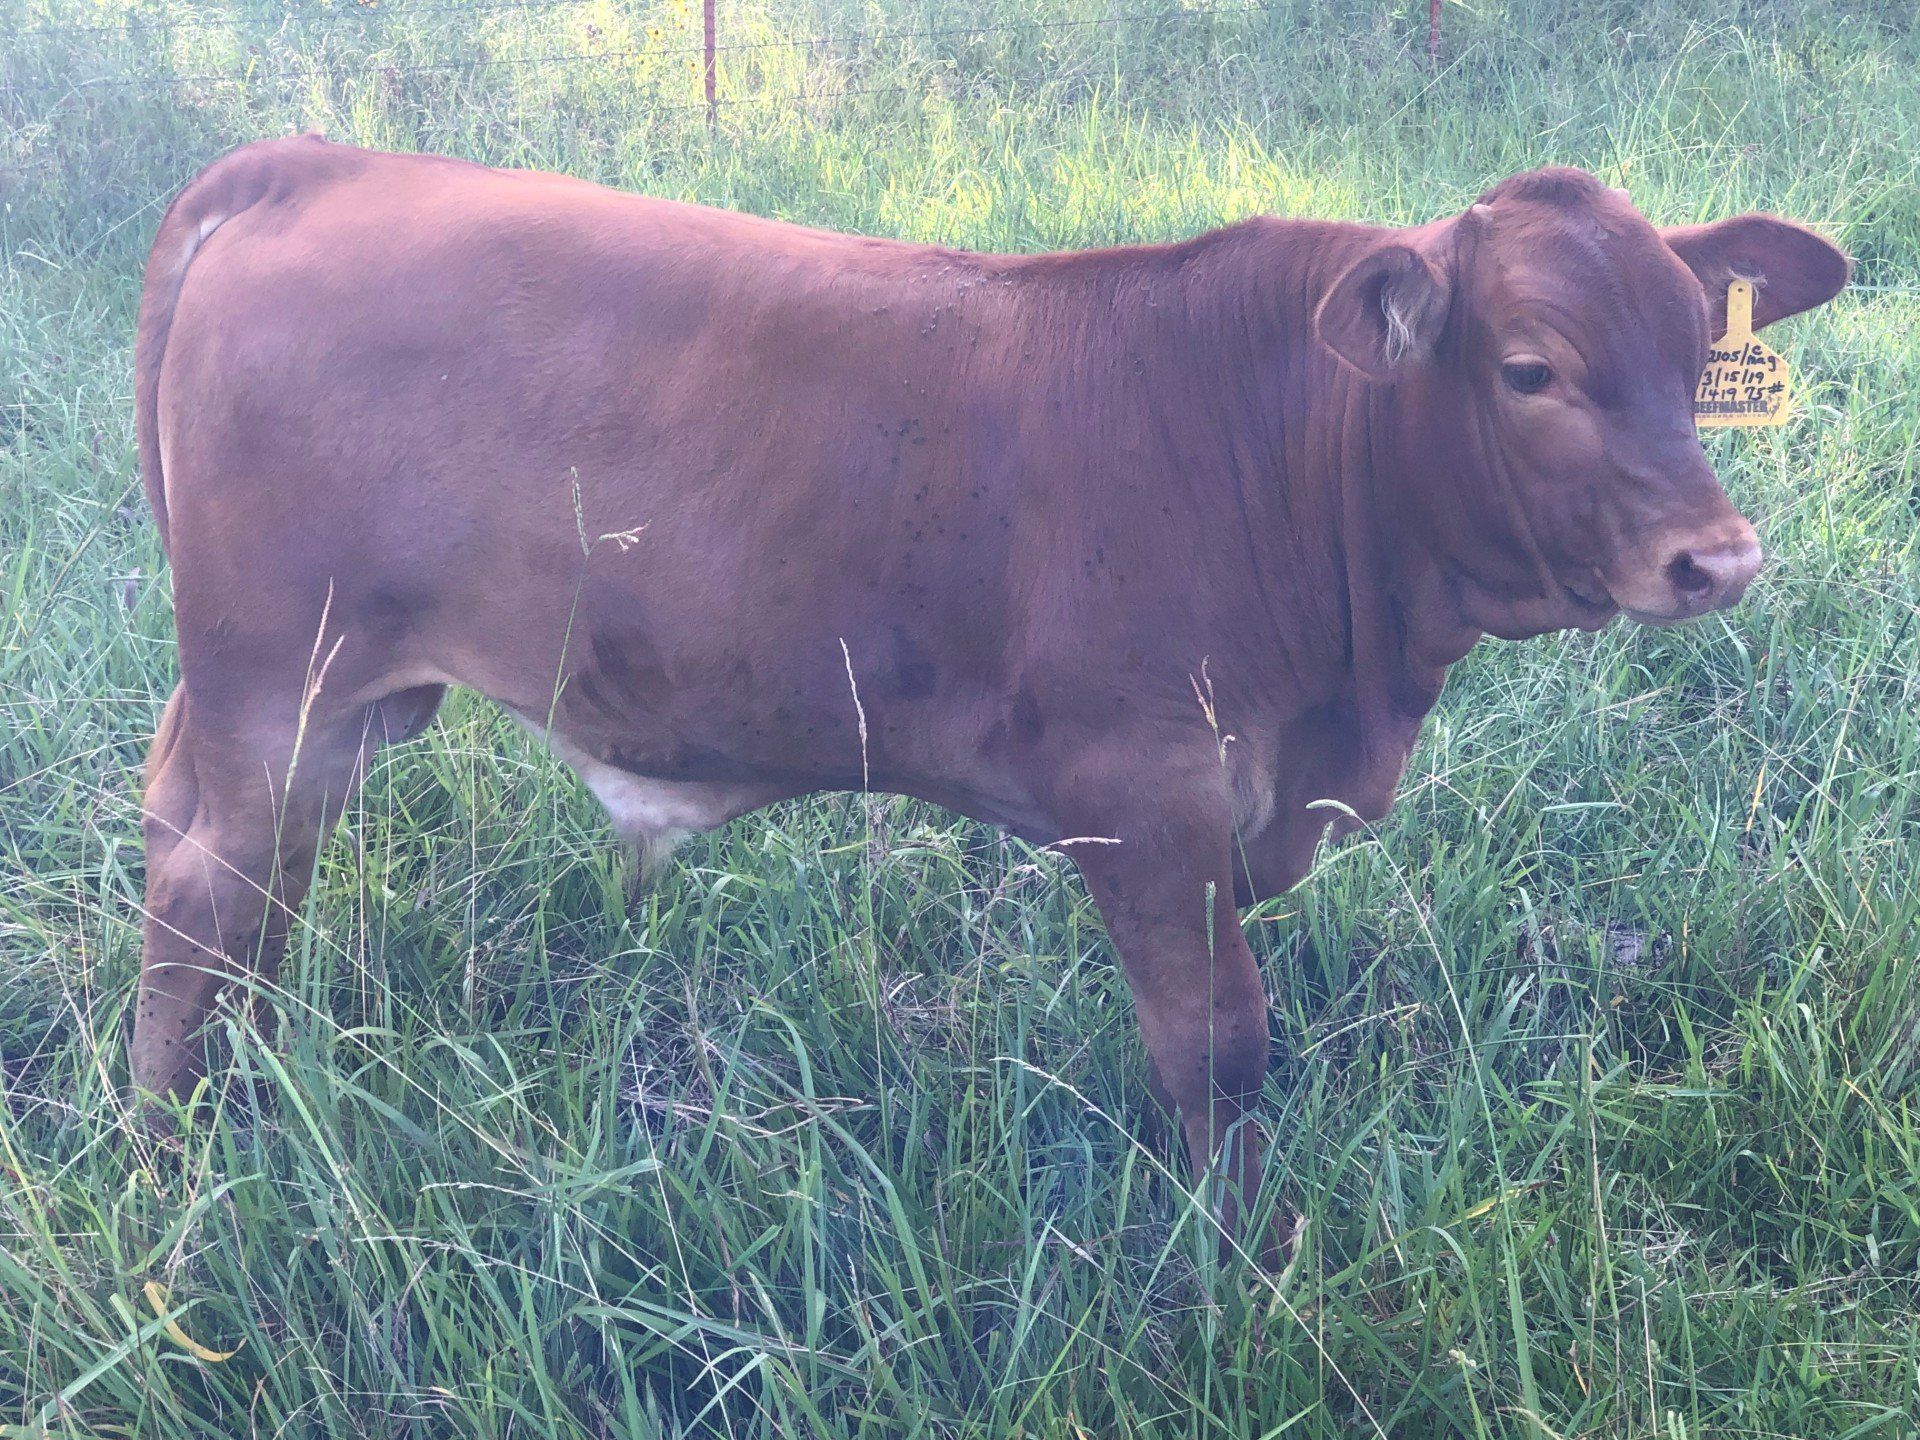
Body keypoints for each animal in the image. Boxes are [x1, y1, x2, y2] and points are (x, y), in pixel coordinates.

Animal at [129, 136, 1847, 1259]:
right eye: (1532, 369)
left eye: (1695, 355)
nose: (1716, 560)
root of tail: (315, 164)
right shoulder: (1152, 802)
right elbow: (1217, 1043)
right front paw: (1240, 1261)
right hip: (279, 682)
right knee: (206, 893)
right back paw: (176, 1145)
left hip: (332, 699)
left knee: (229, 877)